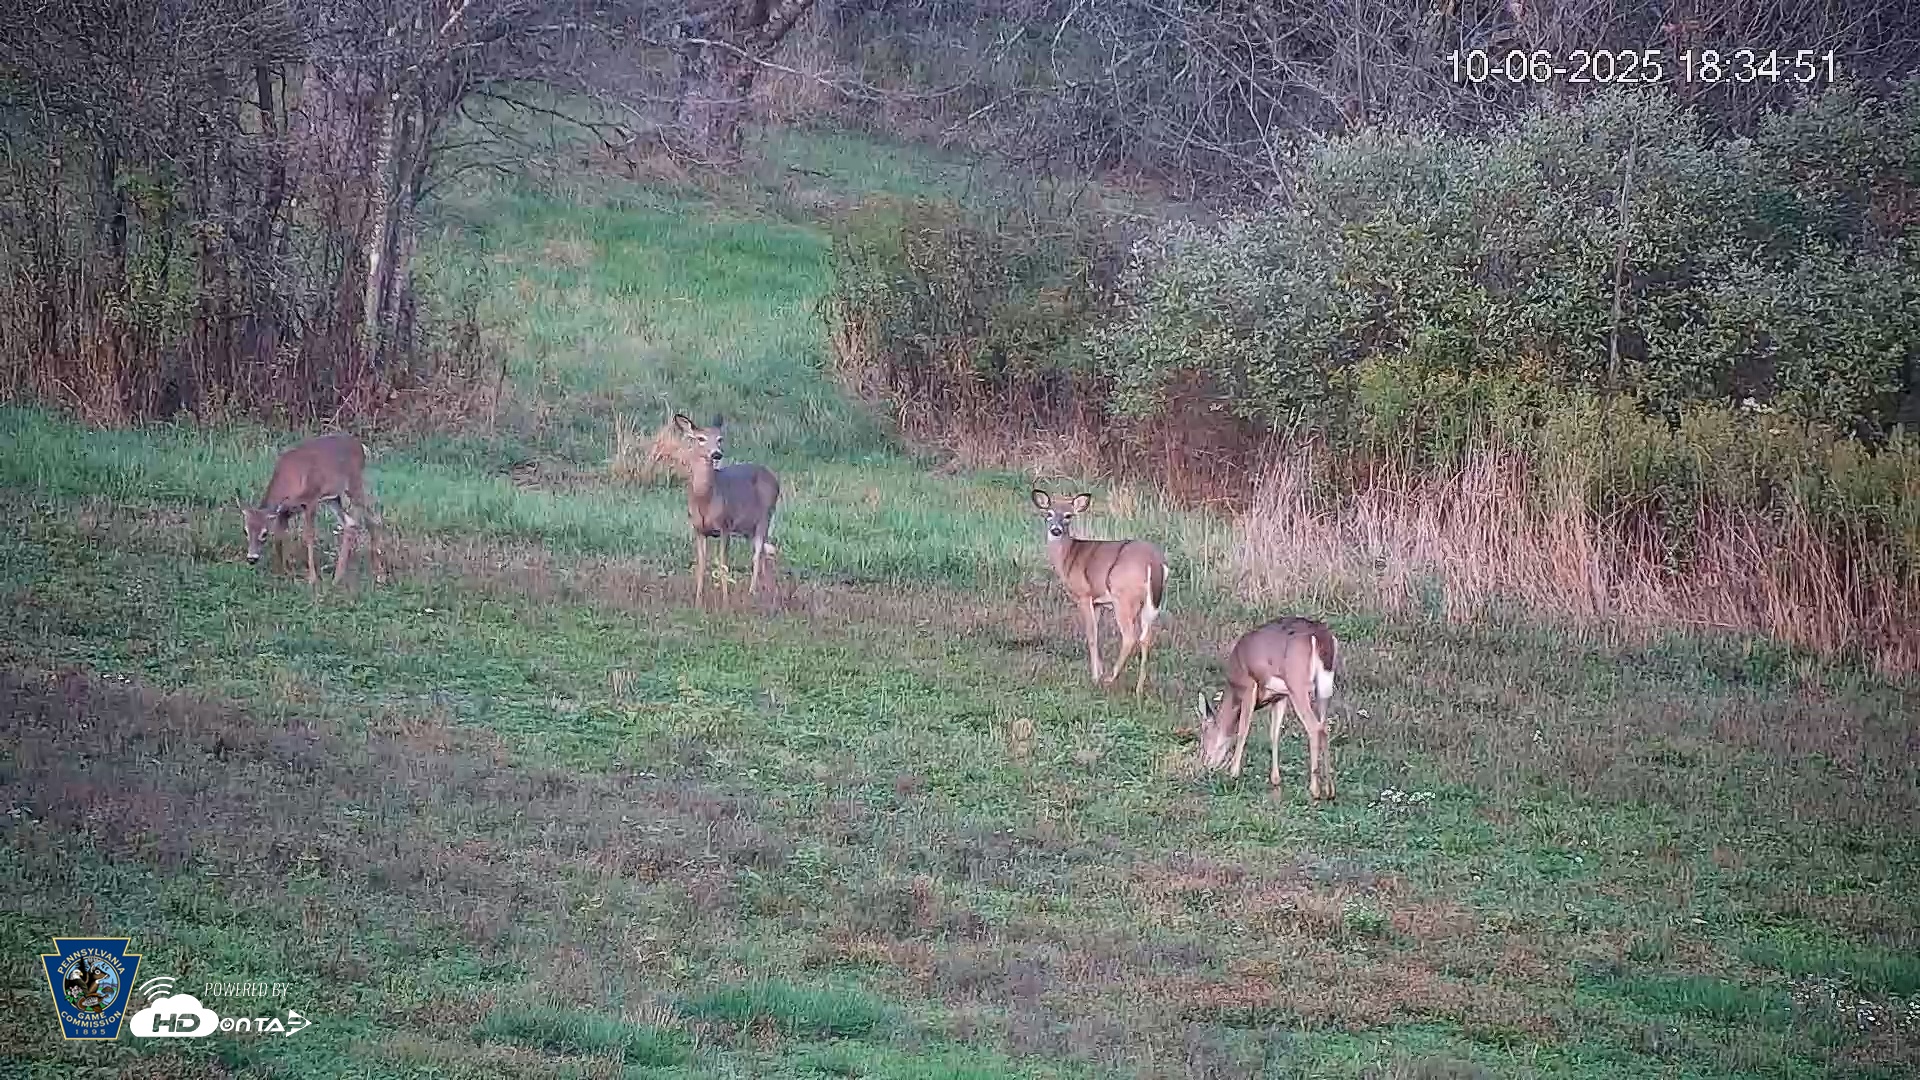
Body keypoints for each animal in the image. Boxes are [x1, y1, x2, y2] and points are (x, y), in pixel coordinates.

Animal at [236, 433, 387, 588]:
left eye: (264, 533)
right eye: (245, 531)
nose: (251, 558)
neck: (290, 478)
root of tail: (362, 446)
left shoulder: (311, 500)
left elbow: (308, 536)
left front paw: (312, 578)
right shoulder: (285, 511)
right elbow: (280, 535)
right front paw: (283, 571)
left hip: (354, 485)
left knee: (374, 518)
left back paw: (379, 576)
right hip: (333, 497)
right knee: (351, 523)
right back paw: (339, 577)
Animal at [670, 413, 780, 608]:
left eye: (720, 439)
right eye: (700, 438)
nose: (717, 454)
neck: (705, 500)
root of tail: (773, 477)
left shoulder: (725, 526)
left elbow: (723, 564)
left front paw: (725, 602)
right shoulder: (698, 530)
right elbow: (701, 565)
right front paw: (698, 601)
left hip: (765, 517)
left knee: (757, 554)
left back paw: (752, 592)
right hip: (748, 527)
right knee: (764, 553)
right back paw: (765, 591)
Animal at [1029, 489, 1168, 698]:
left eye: (1068, 516)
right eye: (1049, 513)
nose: (1056, 530)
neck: (1067, 558)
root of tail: (1154, 562)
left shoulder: (1084, 595)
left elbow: (1091, 635)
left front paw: (1096, 677)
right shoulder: (1099, 602)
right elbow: (1097, 633)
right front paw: (1099, 671)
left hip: (1123, 598)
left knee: (1130, 636)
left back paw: (1111, 679)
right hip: (1149, 603)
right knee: (1146, 637)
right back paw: (1139, 688)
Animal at [1192, 616, 1341, 802]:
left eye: (1203, 734)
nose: (1204, 763)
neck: (1233, 690)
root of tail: (1320, 637)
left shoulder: (1249, 685)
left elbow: (1242, 731)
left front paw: (1233, 773)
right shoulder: (1280, 696)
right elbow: (1274, 734)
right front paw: (1275, 779)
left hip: (1297, 683)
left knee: (1314, 727)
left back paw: (1314, 790)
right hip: (1324, 688)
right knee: (1324, 726)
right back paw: (1330, 790)